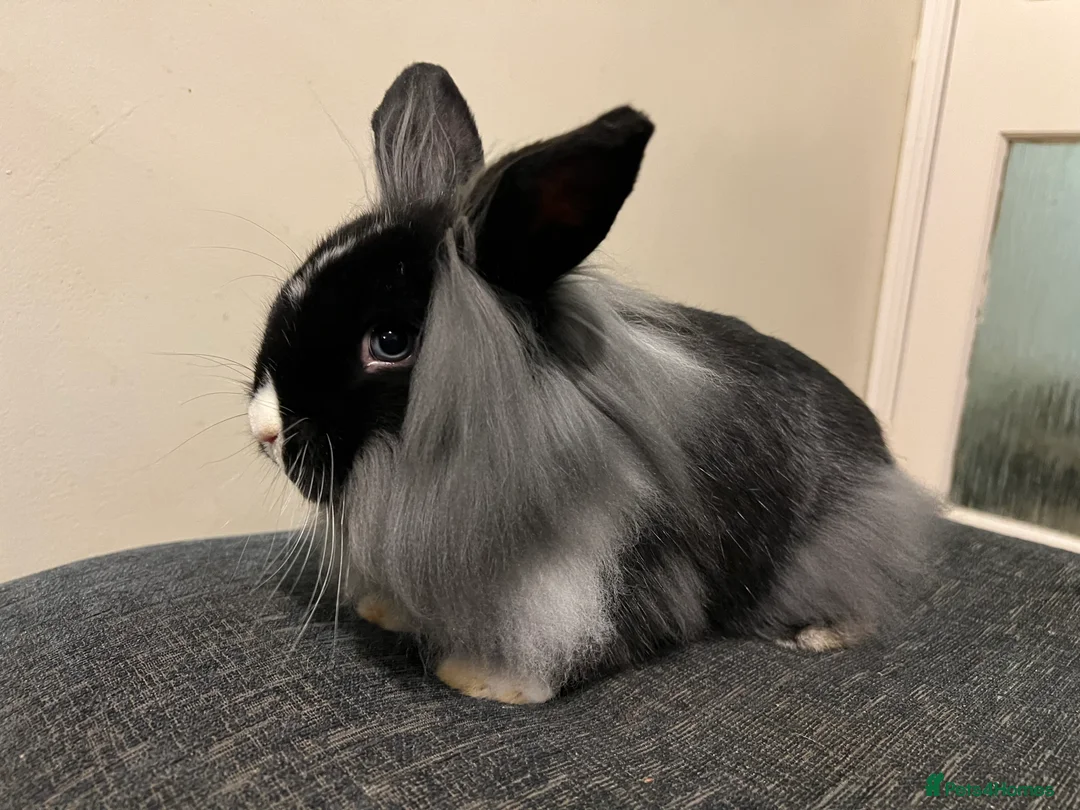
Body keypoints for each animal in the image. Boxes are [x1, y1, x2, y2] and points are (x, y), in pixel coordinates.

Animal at [246, 62, 937, 705]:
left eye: (390, 342)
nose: (264, 431)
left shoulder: (601, 573)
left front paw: (485, 680)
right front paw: (384, 610)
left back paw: (819, 635)